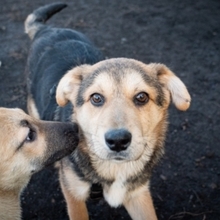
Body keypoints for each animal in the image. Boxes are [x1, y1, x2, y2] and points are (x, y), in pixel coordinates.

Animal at [24, 3, 191, 220]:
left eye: (142, 97)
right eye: (96, 98)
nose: (118, 141)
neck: (116, 168)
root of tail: (47, 29)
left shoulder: (138, 194)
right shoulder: (74, 194)